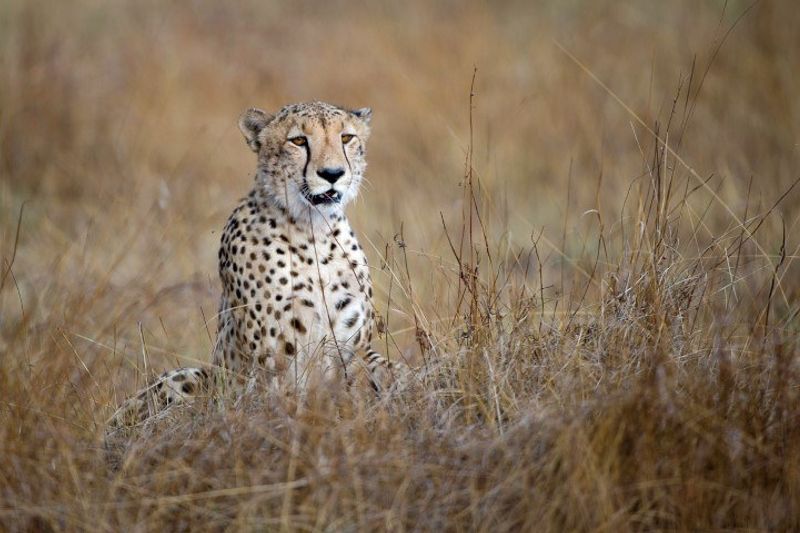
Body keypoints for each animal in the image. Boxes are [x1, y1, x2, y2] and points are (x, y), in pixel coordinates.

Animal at [106, 101, 406, 434]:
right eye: (298, 141)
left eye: (346, 138)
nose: (332, 174)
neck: (314, 230)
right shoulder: (274, 363)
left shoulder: (352, 349)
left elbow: (381, 375)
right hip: (196, 378)